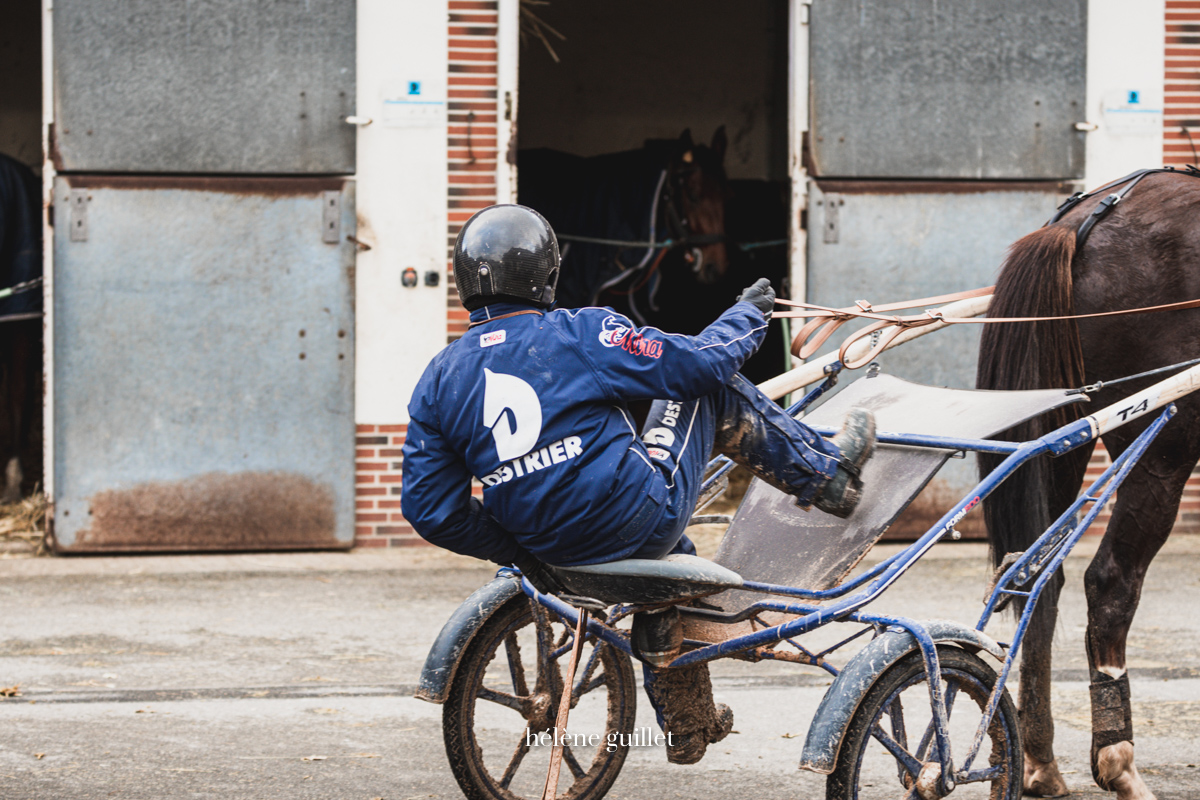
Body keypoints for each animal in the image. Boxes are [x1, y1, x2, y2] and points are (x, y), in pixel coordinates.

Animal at [974, 167, 1200, 800]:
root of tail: (1083, 225)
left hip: (1064, 438)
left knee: (1037, 575)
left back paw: (1040, 762)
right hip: (1162, 447)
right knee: (1110, 582)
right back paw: (1118, 761)